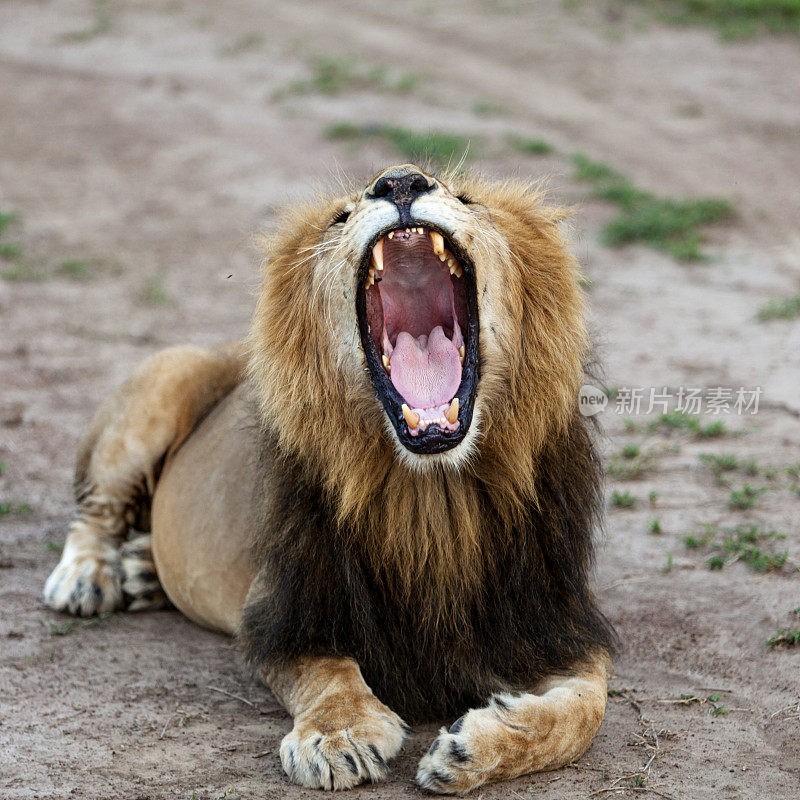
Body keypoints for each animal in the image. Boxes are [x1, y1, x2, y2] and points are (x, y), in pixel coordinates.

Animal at [43, 164, 616, 792]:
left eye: (466, 199)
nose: (400, 181)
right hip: (164, 383)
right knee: (95, 510)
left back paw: (142, 570)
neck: (434, 496)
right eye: (341, 217)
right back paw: (87, 578)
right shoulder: (288, 608)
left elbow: (586, 708)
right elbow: (328, 670)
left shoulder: (555, 618)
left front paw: (471, 751)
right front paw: (337, 738)